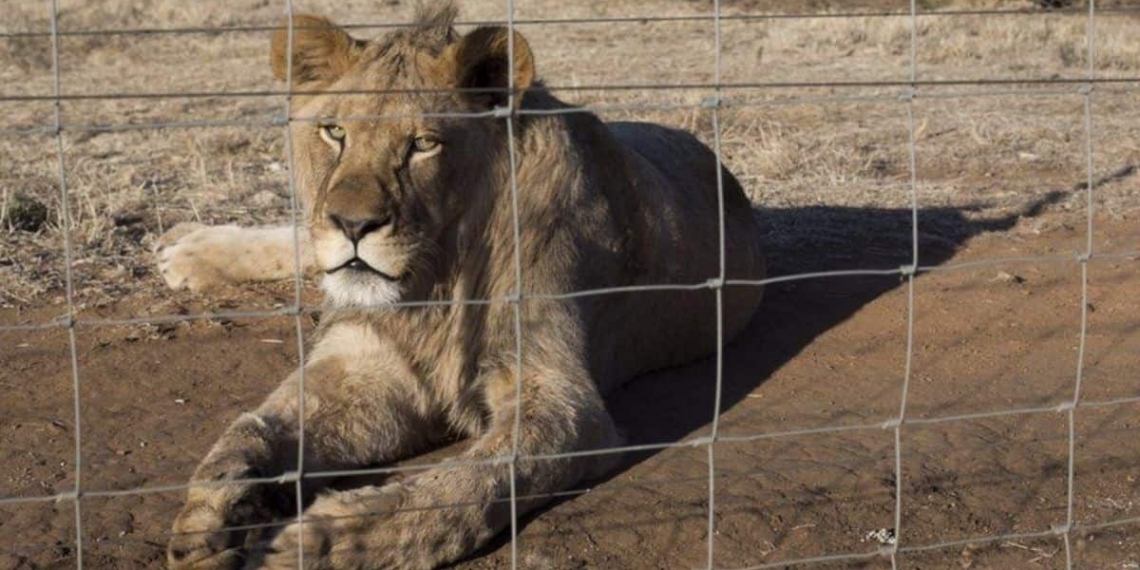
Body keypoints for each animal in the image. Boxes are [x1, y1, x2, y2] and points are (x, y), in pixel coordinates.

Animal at [160, 3, 765, 569]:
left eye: (423, 144)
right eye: (334, 132)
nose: (353, 225)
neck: (434, 281)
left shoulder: (564, 401)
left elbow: (475, 481)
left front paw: (329, 540)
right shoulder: (366, 364)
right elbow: (254, 427)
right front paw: (215, 510)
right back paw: (186, 248)